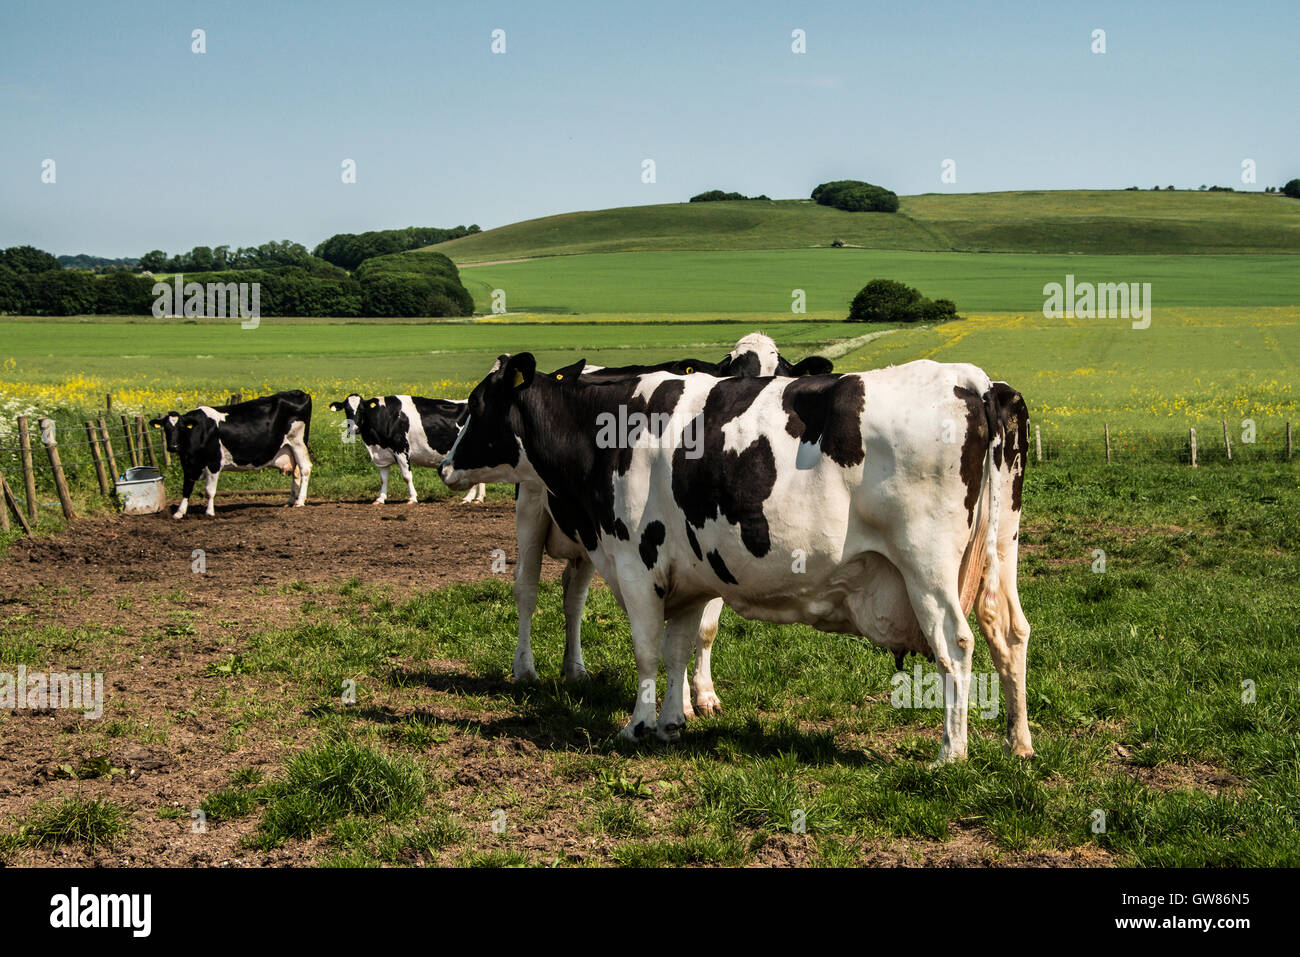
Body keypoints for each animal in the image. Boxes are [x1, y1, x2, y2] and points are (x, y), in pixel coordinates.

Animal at [149, 390, 313, 519]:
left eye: (182, 427)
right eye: (166, 428)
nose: (173, 446)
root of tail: (300, 393)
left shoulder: (214, 462)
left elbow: (209, 491)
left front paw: (209, 512)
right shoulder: (189, 465)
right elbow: (186, 488)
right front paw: (179, 512)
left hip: (298, 442)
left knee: (305, 469)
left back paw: (300, 502)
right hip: (289, 448)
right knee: (296, 472)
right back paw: (291, 501)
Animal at [328, 394, 485, 504]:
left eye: (361, 409)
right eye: (347, 409)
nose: (353, 428)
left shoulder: (401, 449)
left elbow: (406, 476)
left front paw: (412, 498)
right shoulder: (382, 455)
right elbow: (383, 479)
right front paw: (380, 499)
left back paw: (468, 498)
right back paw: (478, 498)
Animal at [441, 354, 1031, 766]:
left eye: (476, 405)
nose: (445, 463)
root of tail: (975, 381)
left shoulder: (636, 561)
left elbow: (648, 651)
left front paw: (637, 725)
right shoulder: (686, 575)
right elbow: (678, 648)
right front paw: (672, 722)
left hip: (925, 565)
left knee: (956, 644)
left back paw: (951, 753)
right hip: (1002, 550)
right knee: (1008, 631)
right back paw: (1018, 743)